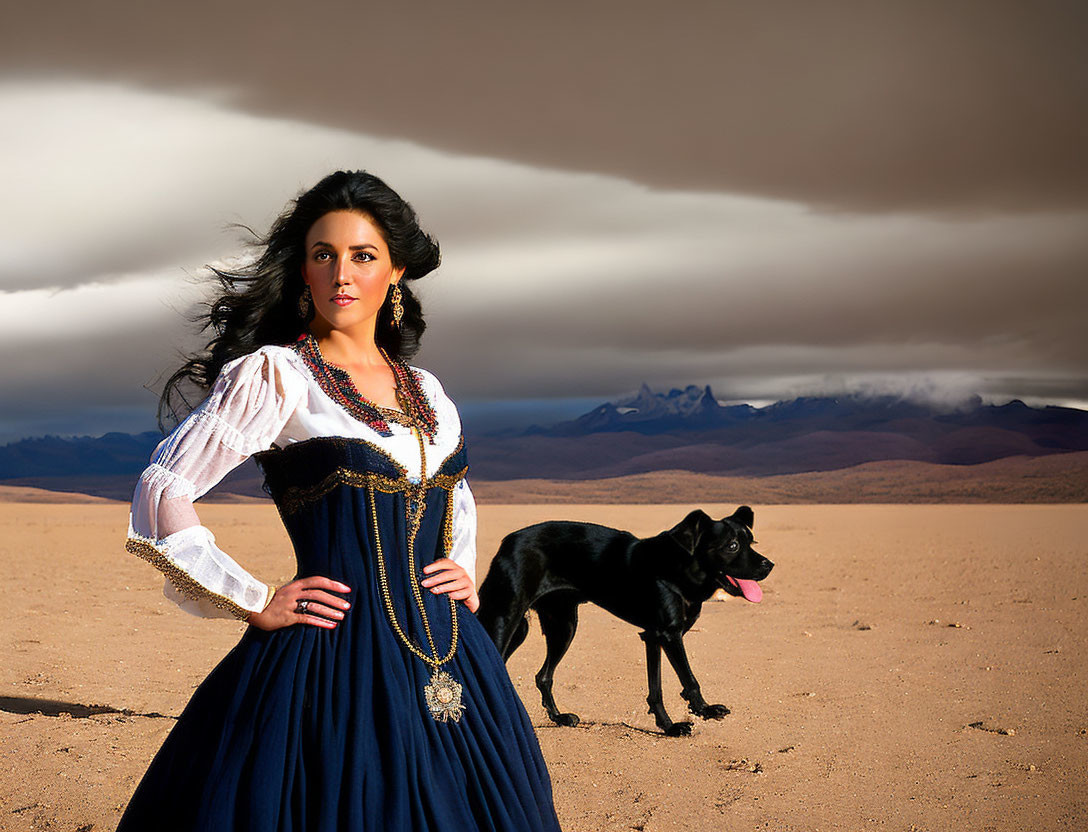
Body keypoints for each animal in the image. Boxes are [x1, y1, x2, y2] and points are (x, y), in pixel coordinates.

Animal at [476, 506, 774, 735]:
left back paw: (559, 717)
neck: (680, 568)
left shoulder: (653, 636)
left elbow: (656, 687)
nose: (769, 565)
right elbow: (689, 678)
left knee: (543, 676)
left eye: (752, 543)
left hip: (562, 625)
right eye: (732, 546)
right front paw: (701, 712)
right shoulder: (669, 635)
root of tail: (506, 543)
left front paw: (668, 726)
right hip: (506, 618)